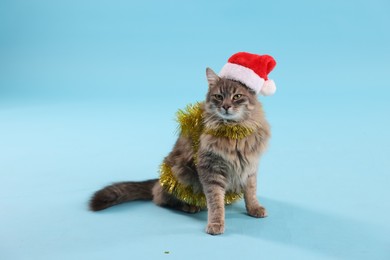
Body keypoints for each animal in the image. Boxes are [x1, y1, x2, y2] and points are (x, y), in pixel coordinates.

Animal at [89, 67, 270, 236]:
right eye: (219, 96)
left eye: (237, 96)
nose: (226, 106)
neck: (235, 133)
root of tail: (159, 180)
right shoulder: (211, 169)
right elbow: (215, 202)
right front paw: (216, 223)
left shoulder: (250, 166)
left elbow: (251, 191)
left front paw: (254, 208)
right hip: (180, 172)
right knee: (161, 199)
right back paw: (188, 206)